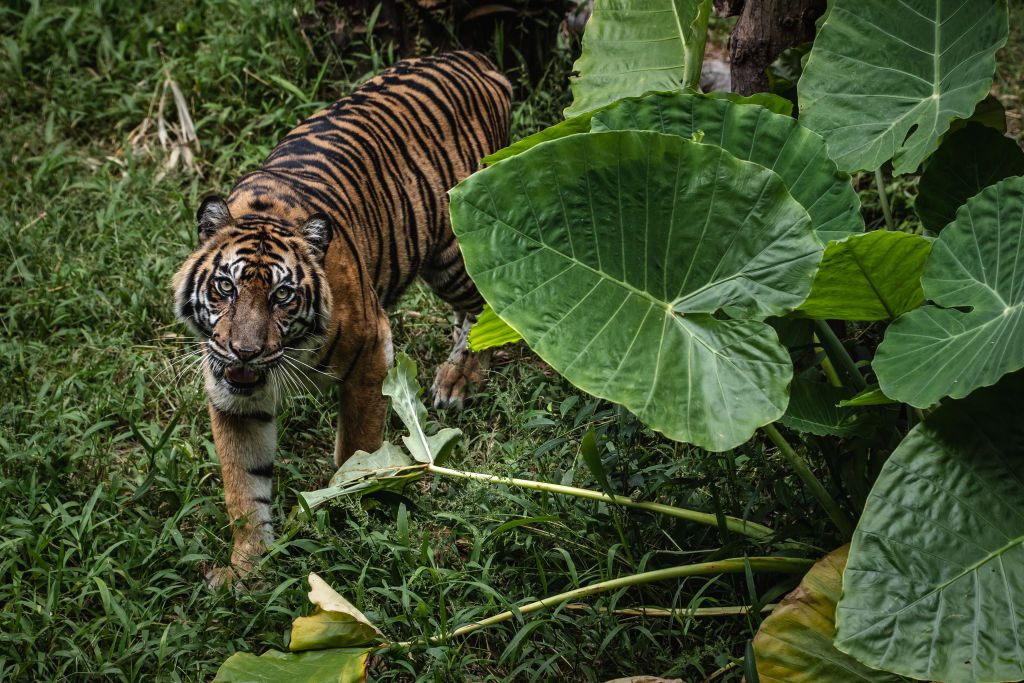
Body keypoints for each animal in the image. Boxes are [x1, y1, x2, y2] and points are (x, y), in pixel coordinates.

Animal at [173, 52, 516, 589]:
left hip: (454, 247)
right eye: (225, 287)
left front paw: (349, 514)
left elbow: (355, 449)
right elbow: (244, 488)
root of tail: (477, 60)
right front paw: (247, 568)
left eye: (282, 295)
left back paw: (457, 381)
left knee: (483, 306)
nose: (245, 351)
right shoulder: (232, 396)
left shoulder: (371, 351)